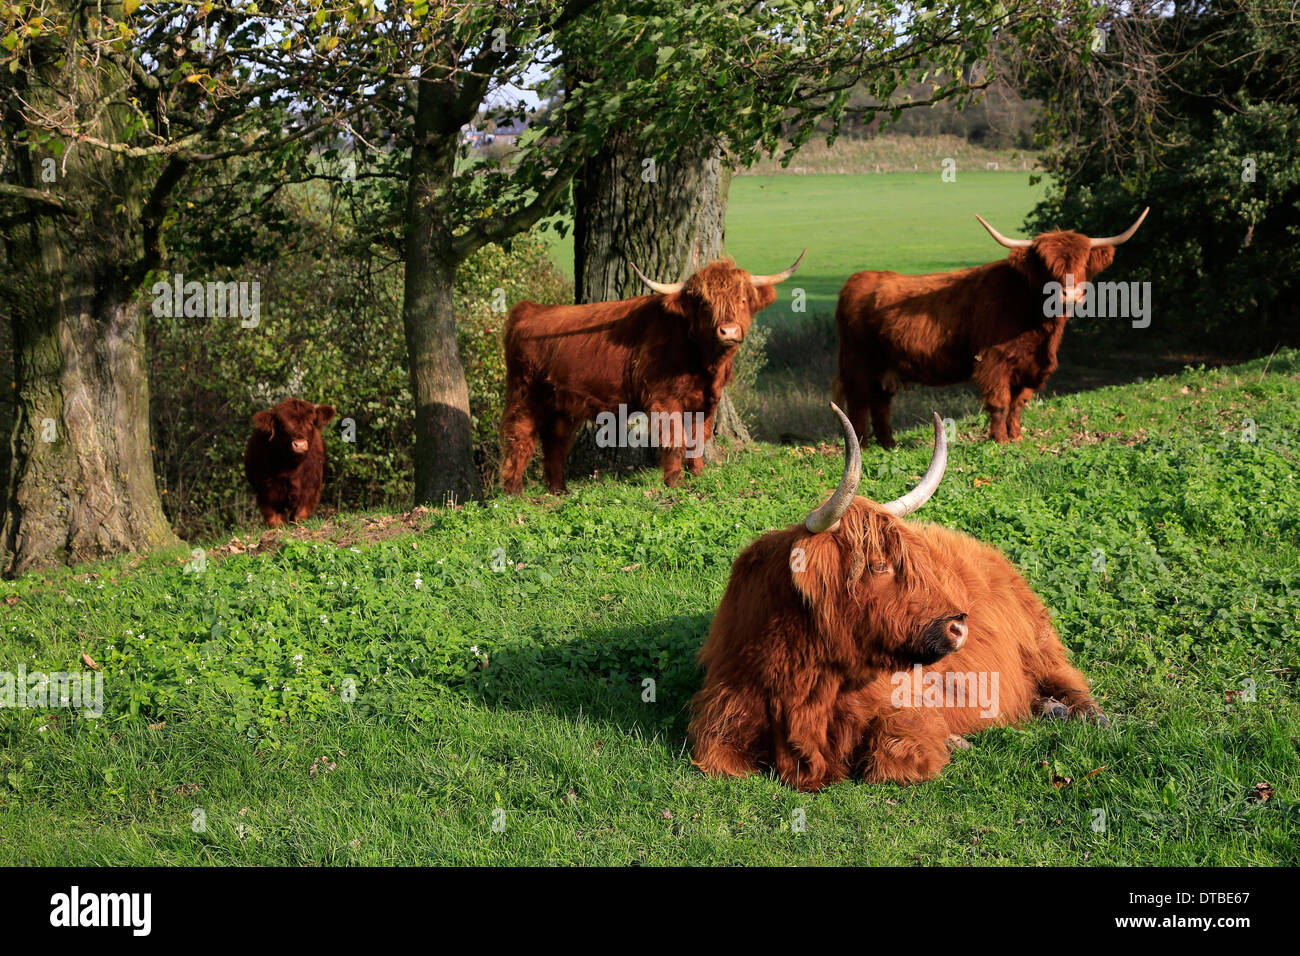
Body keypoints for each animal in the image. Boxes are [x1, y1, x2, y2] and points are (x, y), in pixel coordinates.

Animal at [244, 398, 335, 528]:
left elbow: (300, 514)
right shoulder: (266, 492)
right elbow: (275, 517)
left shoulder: (310, 488)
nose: (300, 444)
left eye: (311, 423)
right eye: (282, 425)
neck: (291, 467)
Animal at [499, 254, 795, 494]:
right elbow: (675, 440)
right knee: (519, 438)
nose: (729, 331)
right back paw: (514, 492)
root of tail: (530, 309)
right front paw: (675, 482)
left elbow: (698, 439)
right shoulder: (664, 399)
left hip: (561, 406)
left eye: (743, 299)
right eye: (704, 304)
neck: (703, 362)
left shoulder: (705, 401)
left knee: (555, 443)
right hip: (525, 395)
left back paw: (559, 490)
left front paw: (698, 475)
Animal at [691, 405, 1107, 790]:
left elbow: (893, 759)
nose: (959, 627)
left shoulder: (903, 704)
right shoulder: (723, 716)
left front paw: (952, 741)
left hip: (1037, 641)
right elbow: (719, 758)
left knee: (1065, 676)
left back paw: (1084, 713)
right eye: (878, 566)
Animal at [832, 208, 1149, 447]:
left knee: (880, 403)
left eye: (1083, 262)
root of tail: (858, 279)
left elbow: (1018, 405)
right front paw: (1000, 440)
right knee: (859, 403)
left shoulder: (1029, 367)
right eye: (1047, 265)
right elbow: (999, 403)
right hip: (858, 362)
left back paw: (889, 444)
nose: (1070, 295)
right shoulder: (993, 362)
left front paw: (1017, 437)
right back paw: (862, 445)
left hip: (885, 368)